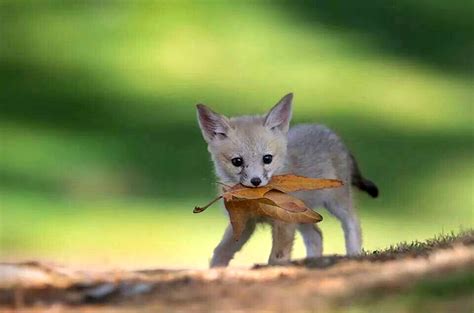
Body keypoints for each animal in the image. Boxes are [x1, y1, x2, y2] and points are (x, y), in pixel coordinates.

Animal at [196, 92, 378, 266]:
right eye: (237, 161)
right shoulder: (244, 223)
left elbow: (276, 258)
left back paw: (354, 255)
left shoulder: (284, 223)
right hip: (304, 216)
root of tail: (329, 132)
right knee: (316, 236)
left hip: (337, 203)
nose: (256, 181)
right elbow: (221, 252)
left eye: (267, 159)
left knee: (352, 224)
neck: (257, 202)